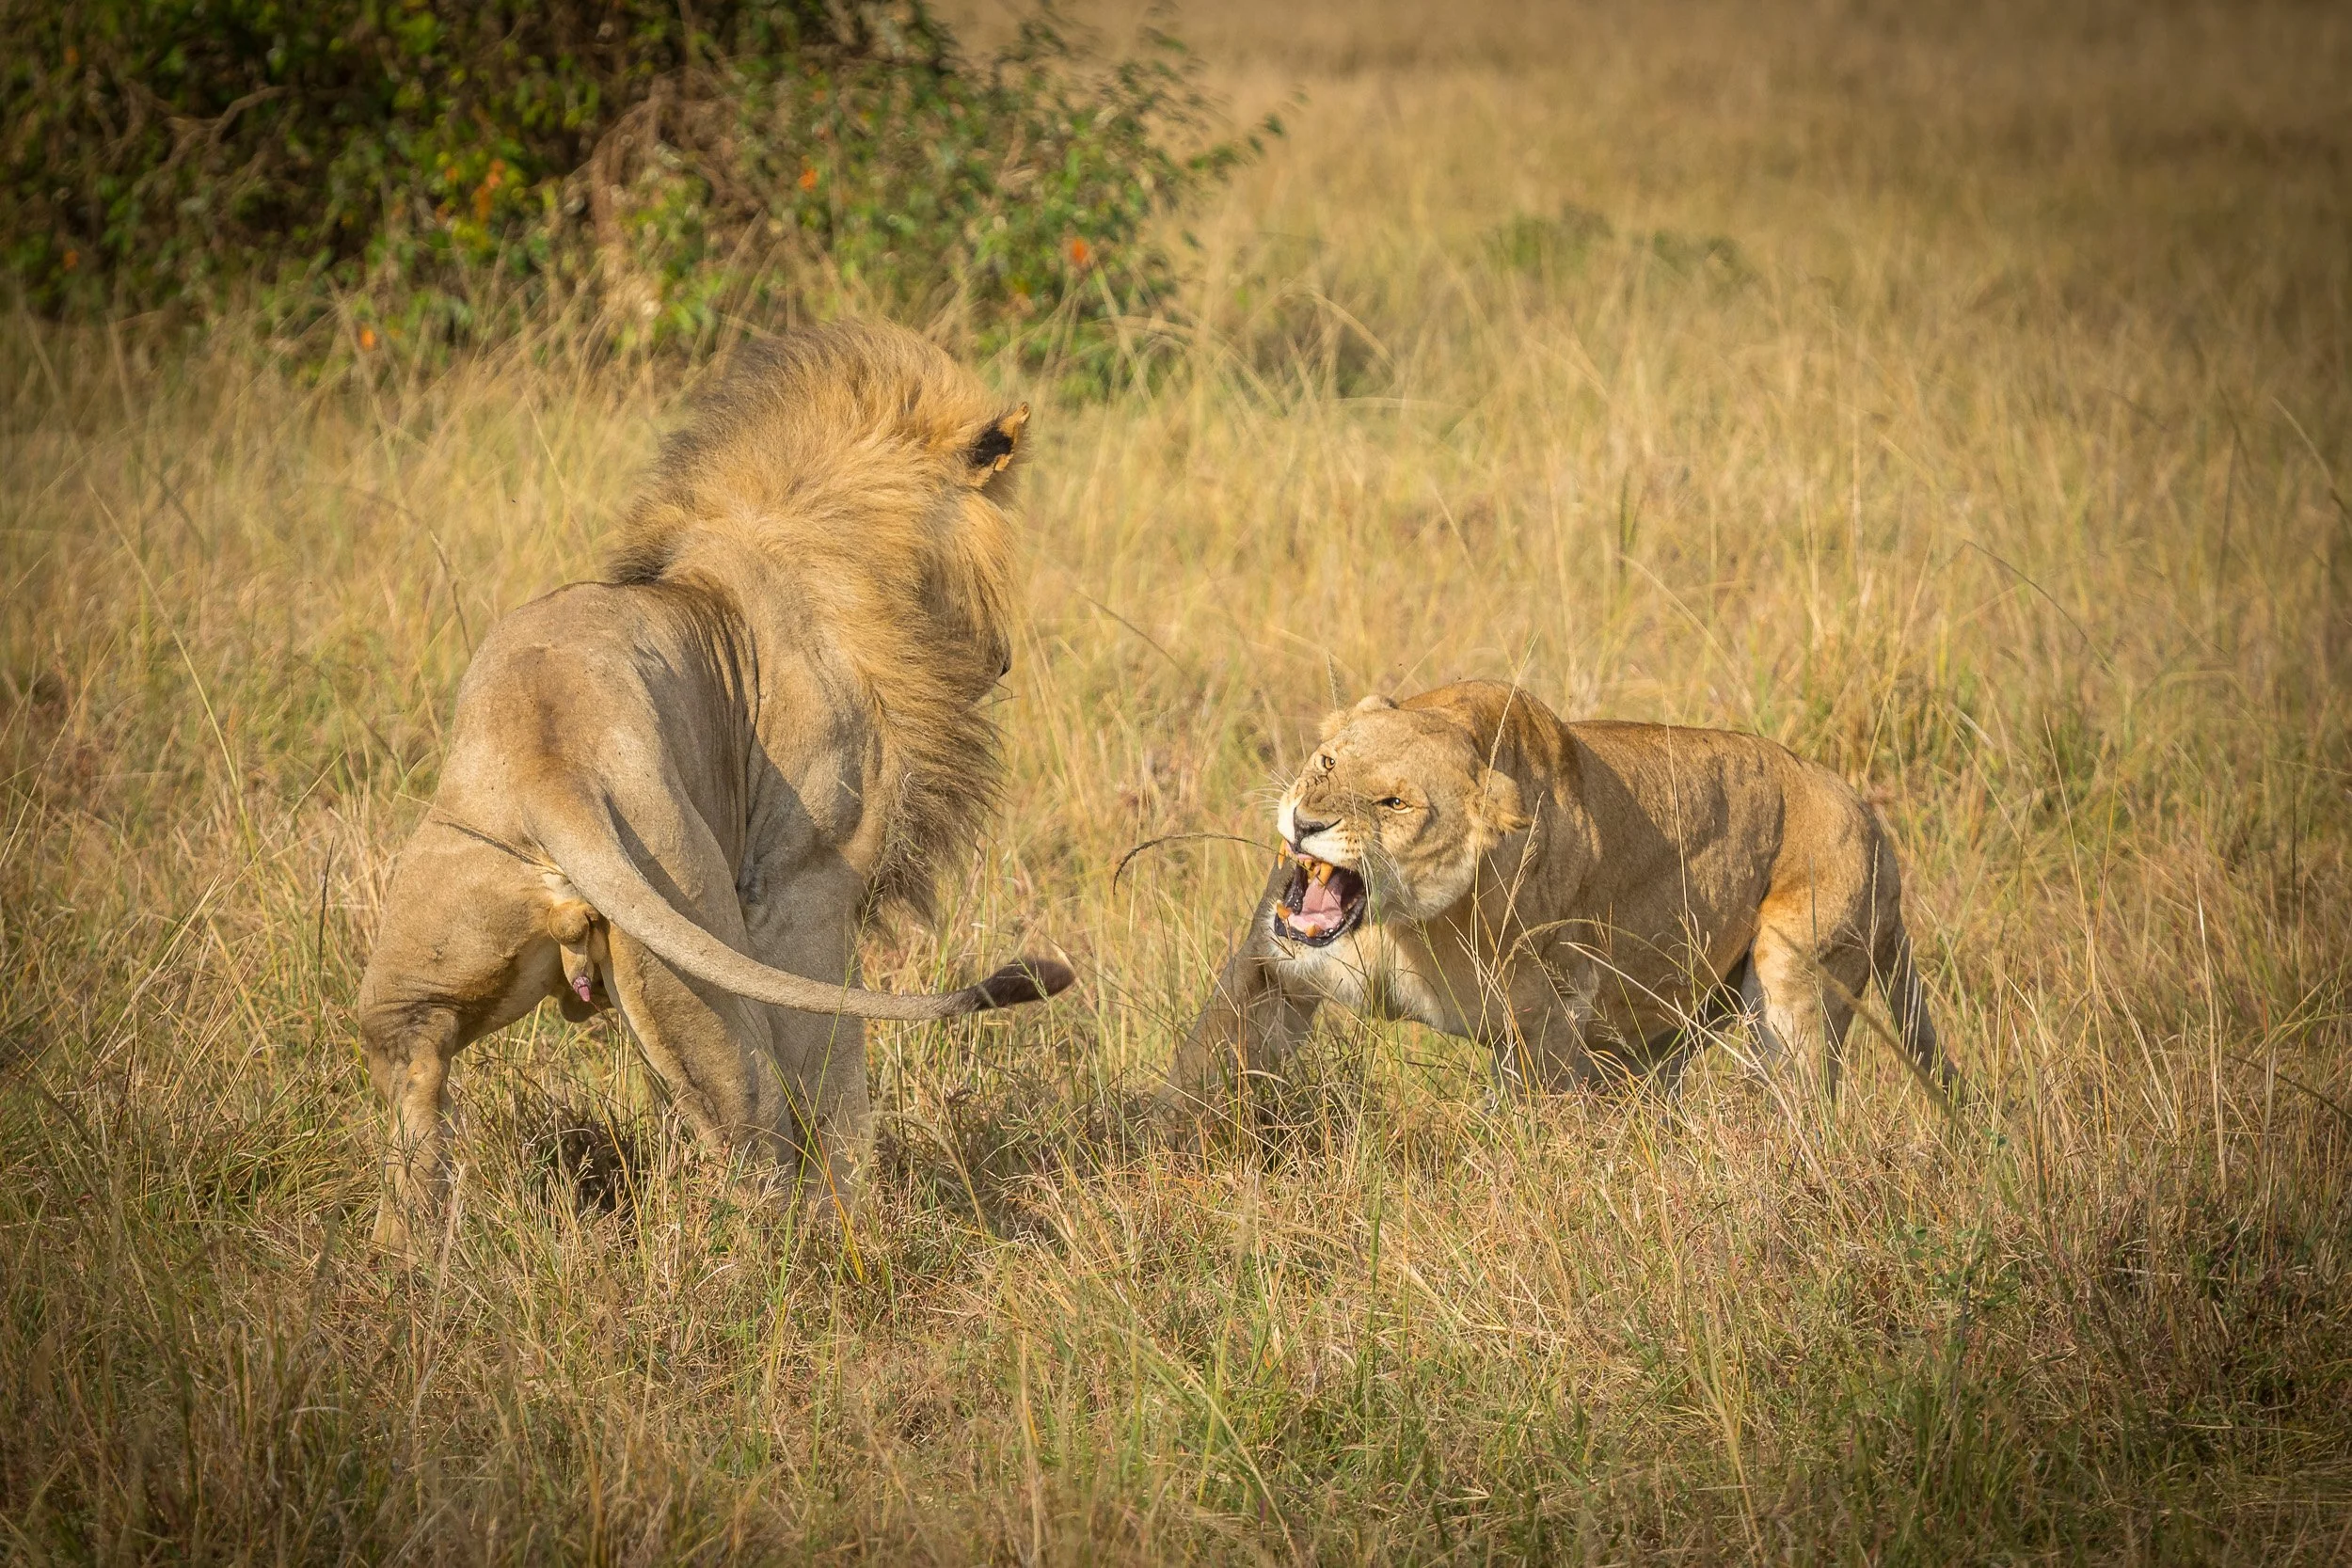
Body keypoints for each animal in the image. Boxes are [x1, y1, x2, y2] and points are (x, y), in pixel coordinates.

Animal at [358, 322, 1073, 1251]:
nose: (1003, 658)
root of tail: (554, 770)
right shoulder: (805, 885)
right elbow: (832, 1077)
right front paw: (856, 1213)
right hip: (698, 935)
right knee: (758, 1126)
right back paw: (806, 1256)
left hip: (438, 943)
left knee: (414, 1064)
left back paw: (402, 1248)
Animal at [1158, 681, 1952, 1125]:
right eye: (1325, 762)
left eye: (1393, 802)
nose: (1306, 821)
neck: (1406, 922)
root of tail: (1873, 818)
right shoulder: (1270, 963)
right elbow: (1202, 1063)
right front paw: (1153, 1148)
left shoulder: (1550, 1019)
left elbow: (1530, 1129)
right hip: (1657, 1035)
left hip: (1799, 985)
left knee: (1806, 1106)